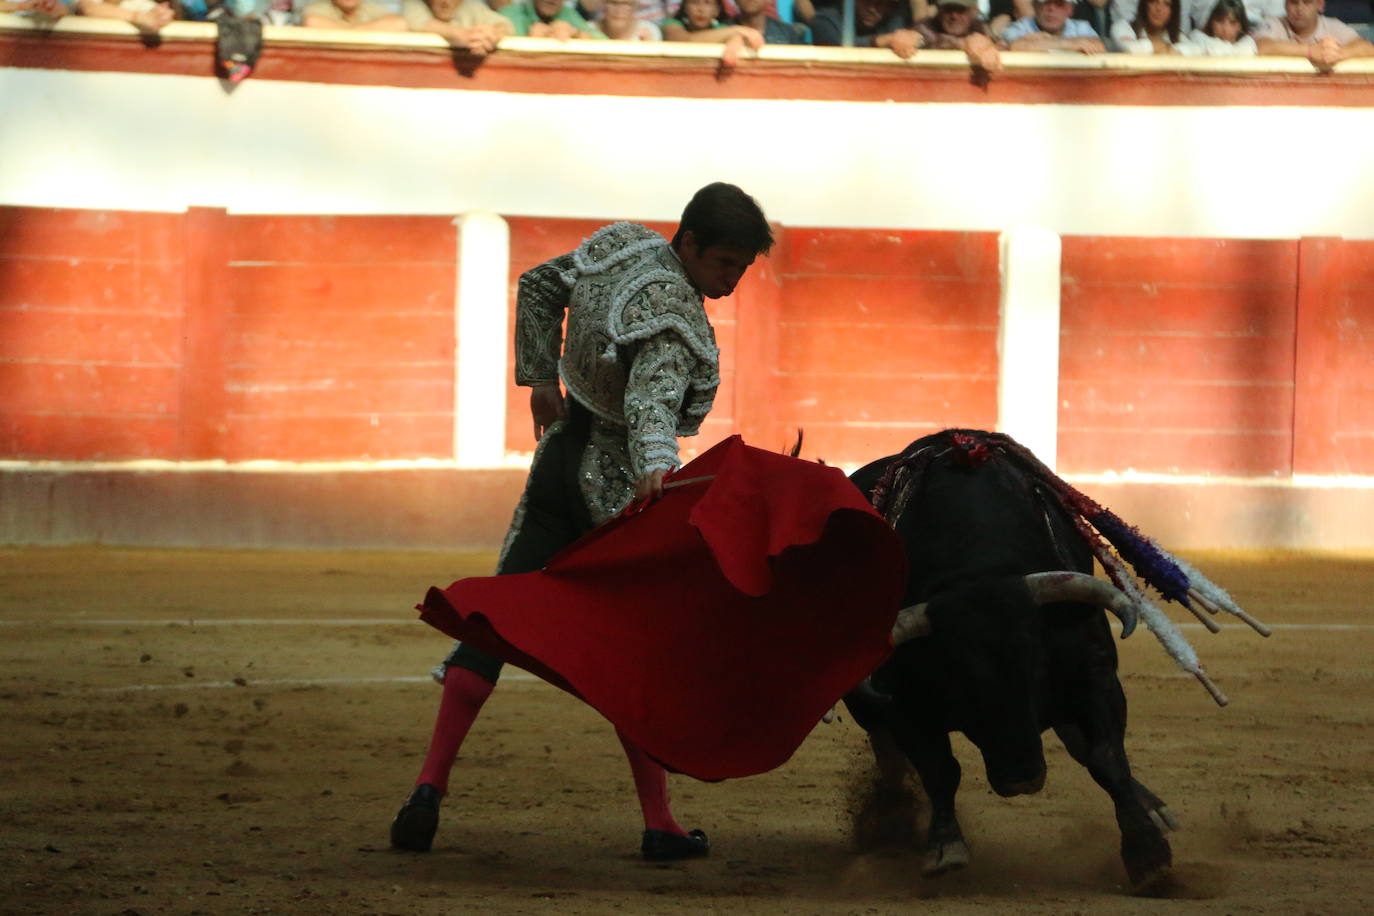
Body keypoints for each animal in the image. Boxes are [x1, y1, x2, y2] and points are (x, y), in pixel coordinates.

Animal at [840, 431, 1176, 895]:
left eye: (1035, 662)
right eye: (957, 680)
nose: (1021, 777)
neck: (977, 569)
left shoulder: (1094, 676)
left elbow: (1106, 757)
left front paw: (1148, 855)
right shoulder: (905, 705)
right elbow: (939, 770)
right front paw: (944, 848)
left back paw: (1153, 807)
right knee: (888, 754)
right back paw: (890, 826)